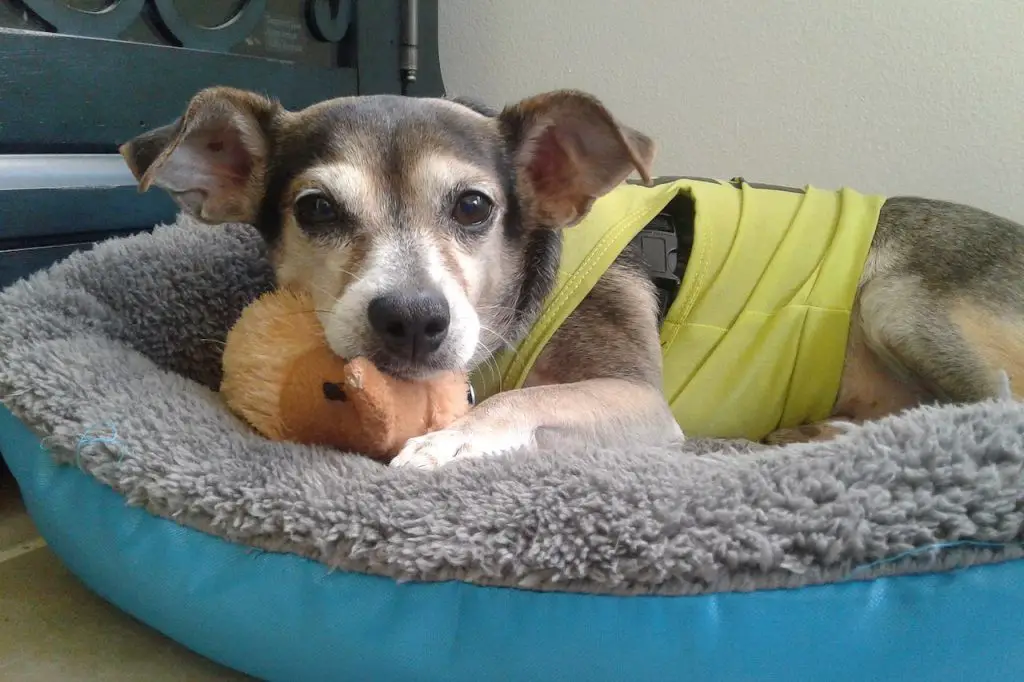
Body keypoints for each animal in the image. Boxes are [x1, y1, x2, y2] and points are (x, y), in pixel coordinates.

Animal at [117, 86, 1024, 466]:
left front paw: (451, 439)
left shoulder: (641, 404)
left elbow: (520, 400)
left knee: (995, 411)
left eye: (474, 207)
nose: (411, 319)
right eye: (315, 211)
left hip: (892, 296)